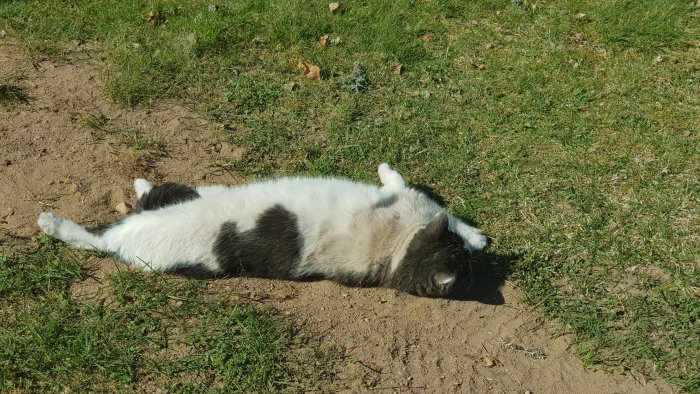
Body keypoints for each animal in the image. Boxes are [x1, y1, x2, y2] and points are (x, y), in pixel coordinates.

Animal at [37, 162, 486, 296]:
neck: (396, 250)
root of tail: (120, 235)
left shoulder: (412, 205)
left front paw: (475, 238)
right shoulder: (410, 200)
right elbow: (443, 210)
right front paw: (476, 237)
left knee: (96, 231)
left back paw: (53, 222)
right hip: (180, 195)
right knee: (149, 195)